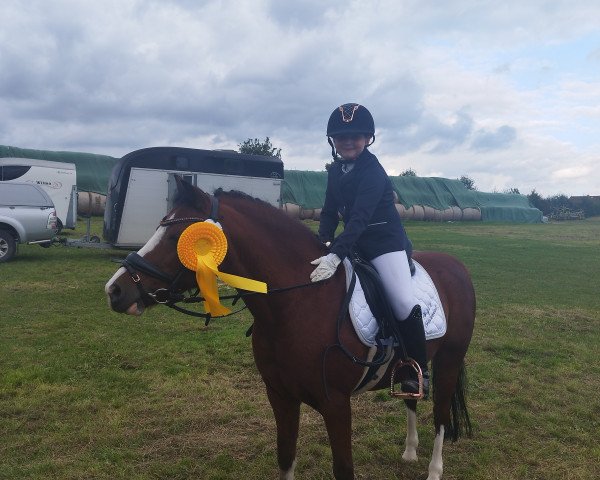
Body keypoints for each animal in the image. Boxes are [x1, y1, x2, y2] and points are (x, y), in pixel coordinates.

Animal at [105, 177, 476, 480]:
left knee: (441, 414)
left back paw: (433, 470)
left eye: (176, 237)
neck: (297, 302)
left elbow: (343, 469)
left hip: (449, 360)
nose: (115, 290)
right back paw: (410, 453)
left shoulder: (336, 404)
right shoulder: (280, 396)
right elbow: (285, 458)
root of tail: (456, 265)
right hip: (411, 367)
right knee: (413, 398)